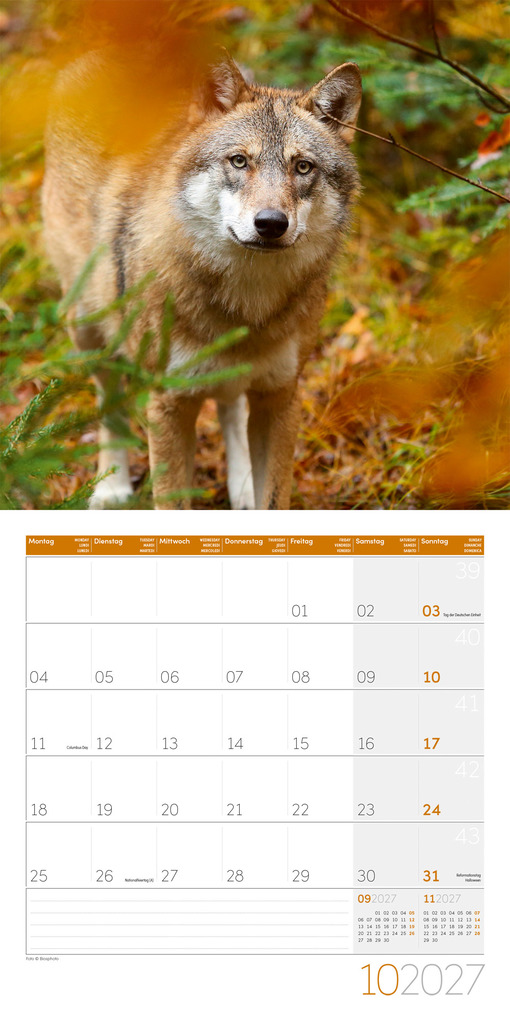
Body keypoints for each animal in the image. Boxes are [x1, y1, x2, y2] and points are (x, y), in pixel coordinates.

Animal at [42, 51, 362, 509]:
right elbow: (171, 499)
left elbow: (273, 497)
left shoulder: (281, 398)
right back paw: (111, 488)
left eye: (303, 167)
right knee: (108, 402)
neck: (246, 305)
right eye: (239, 161)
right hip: (89, 327)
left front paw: (251, 489)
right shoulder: (169, 404)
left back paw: (241, 485)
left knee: (230, 408)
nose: (270, 224)